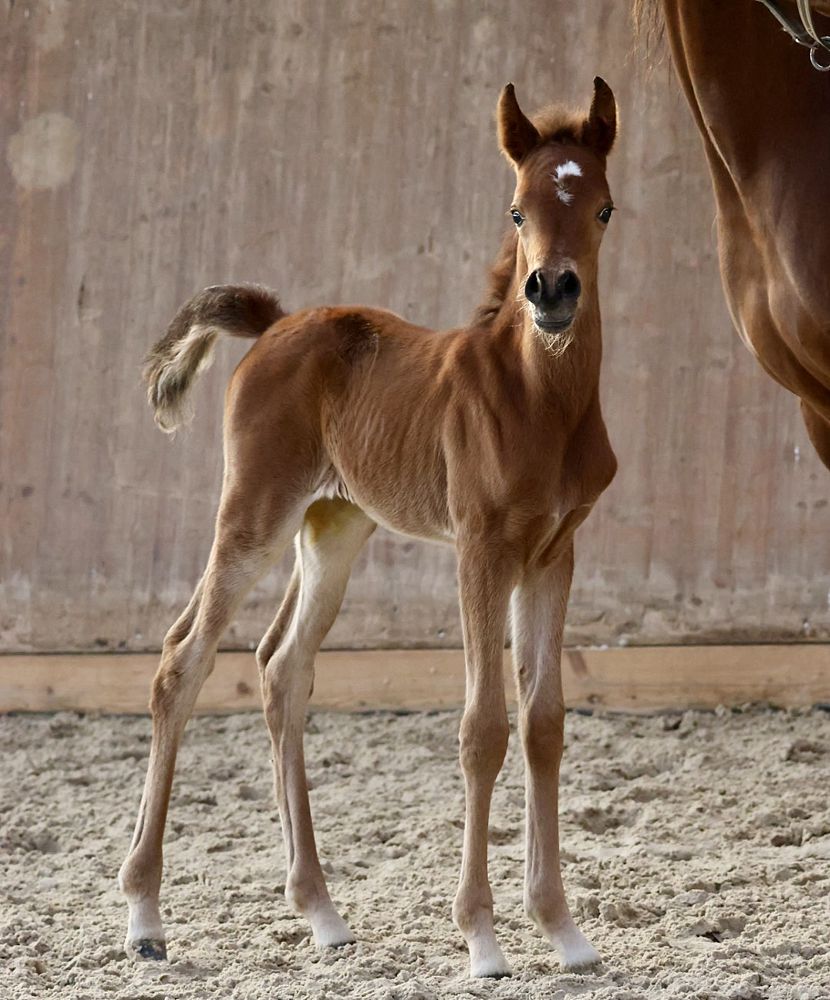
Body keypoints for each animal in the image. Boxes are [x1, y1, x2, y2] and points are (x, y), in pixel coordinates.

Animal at [118, 78, 619, 979]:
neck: (539, 399)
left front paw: (562, 929)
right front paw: (482, 938)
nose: (553, 293)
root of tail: (276, 322)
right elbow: (483, 728)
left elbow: (544, 724)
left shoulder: (553, 553)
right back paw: (144, 916)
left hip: (333, 528)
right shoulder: (482, 548)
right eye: (517, 209)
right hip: (256, 514)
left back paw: (321, 913)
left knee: (282, 667)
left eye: (602, 208)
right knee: (183, 661)